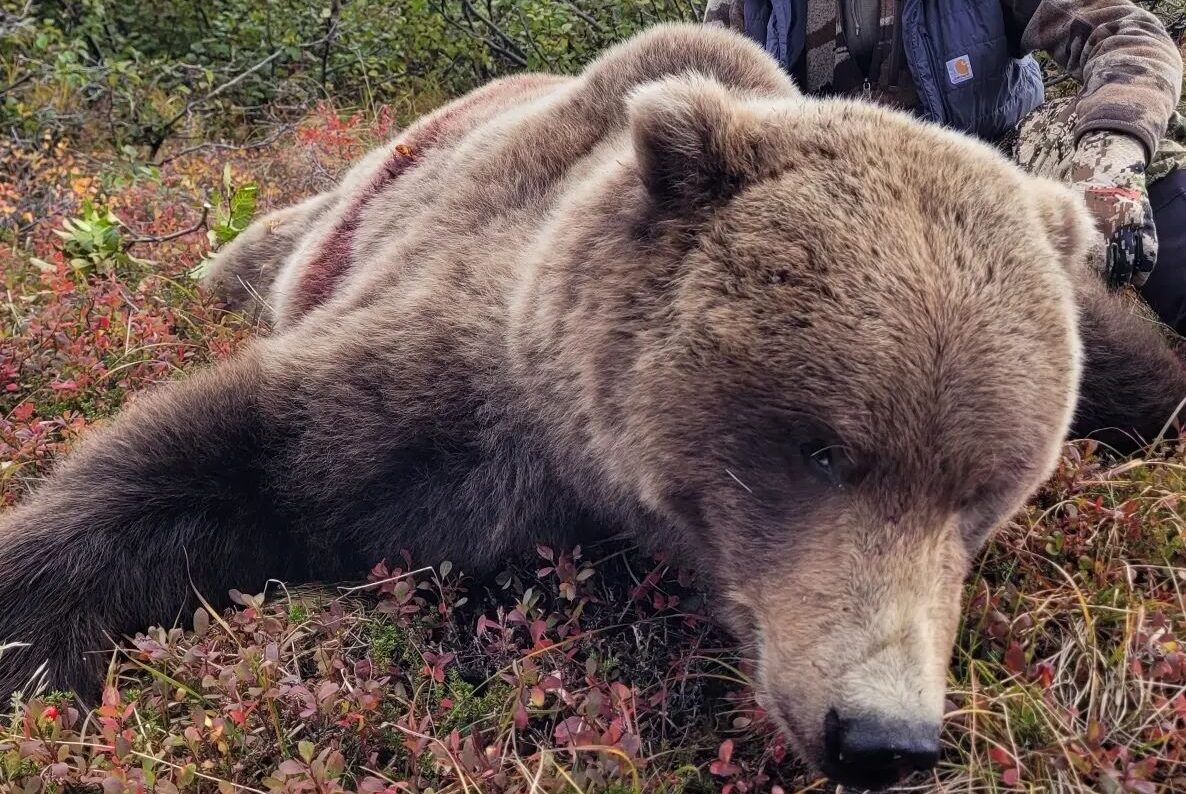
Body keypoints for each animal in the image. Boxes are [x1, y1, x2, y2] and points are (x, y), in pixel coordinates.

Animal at [2, 23, 1186, 788]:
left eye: (985, 492)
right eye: (821, 452)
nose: (883, 739)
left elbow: (1138, 368)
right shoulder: (453, 390)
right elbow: (201, 461)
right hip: (301, 232)